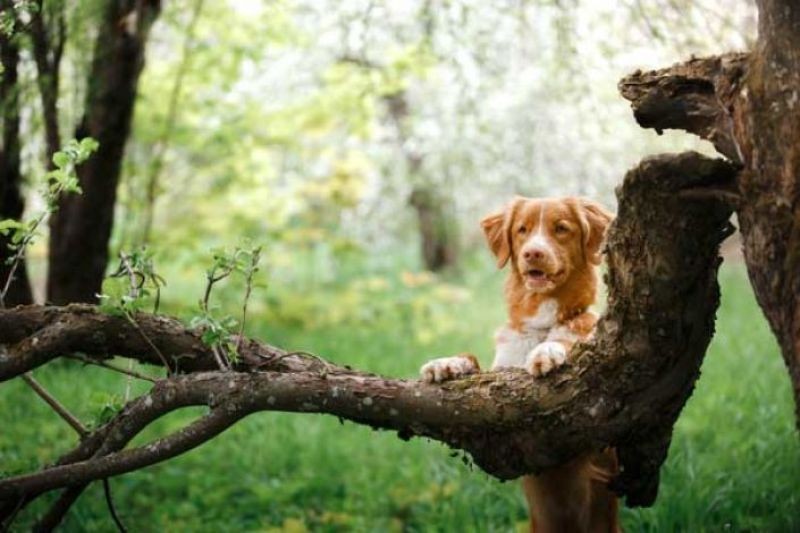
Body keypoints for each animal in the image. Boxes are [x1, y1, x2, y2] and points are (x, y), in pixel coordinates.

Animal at [418, 195, 620, 532]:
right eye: (522, 230)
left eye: (561, 228)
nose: (533, 252)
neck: (541, 322)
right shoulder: (499, 376)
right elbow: (473, 361)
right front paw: (446, 364)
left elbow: (567, 342)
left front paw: (547, 351)